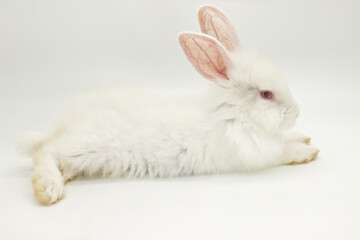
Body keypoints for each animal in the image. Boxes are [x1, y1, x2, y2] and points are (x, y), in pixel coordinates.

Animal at [19, 4, 318, 205]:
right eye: (266, 94)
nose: (297, 112)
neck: (232, 115)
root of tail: (65, 123)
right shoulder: (255, 155)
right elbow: (283, 152)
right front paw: (308, 151)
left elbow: (286, 140)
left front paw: (303, 136)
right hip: (83, 147)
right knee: (44, 151)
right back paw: (49, 190)